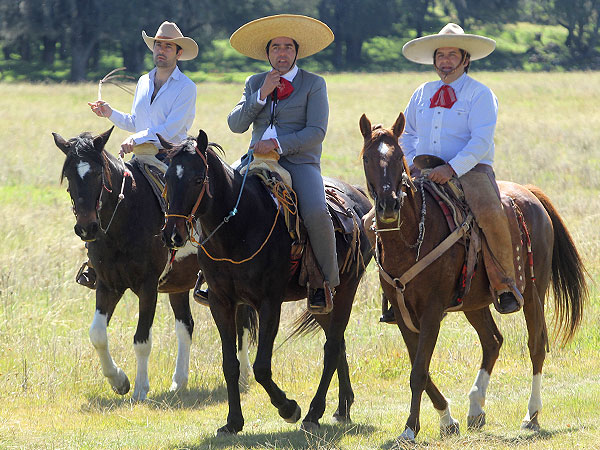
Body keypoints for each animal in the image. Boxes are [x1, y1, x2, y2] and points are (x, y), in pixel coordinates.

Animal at [53, 127, 255, 400]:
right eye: (69, 176)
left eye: (96, 173)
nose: (87, 227)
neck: (125, 217)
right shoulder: (107, 284)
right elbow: (97, 335)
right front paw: (119, 381)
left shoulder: (147, 287)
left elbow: (142, 339)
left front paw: (140, 388)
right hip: (178, 283)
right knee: (186, 326)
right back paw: (179, 382)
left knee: (240, 324)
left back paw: (243, 377)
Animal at [160, 129, 373, 434]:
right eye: (167, 178)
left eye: (198, 179)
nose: (172, 235)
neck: (240, 228)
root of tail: (359, 197)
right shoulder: (221, 302)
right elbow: (230, 364)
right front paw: (233, 422)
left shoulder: (269, 303)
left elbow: (261, 366)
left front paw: (289, 408)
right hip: (321, 299)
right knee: (338, 341)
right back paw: (342, 408)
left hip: (346, 288)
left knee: (332, 347)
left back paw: (313, 412)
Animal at [359, 112, 588, 442]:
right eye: (366, 157)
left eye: (398, 155)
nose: (389, 205)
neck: (412, 236)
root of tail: (530, 194)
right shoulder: (403, 314)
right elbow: (421, 368)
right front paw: (446, 419)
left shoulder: (431, 311)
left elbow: (418, 372)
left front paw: (410, 428)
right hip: (474, 303)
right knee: (492, 341)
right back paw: (476, 407)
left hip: (533, 293)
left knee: (535, 344)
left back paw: (531, 416)